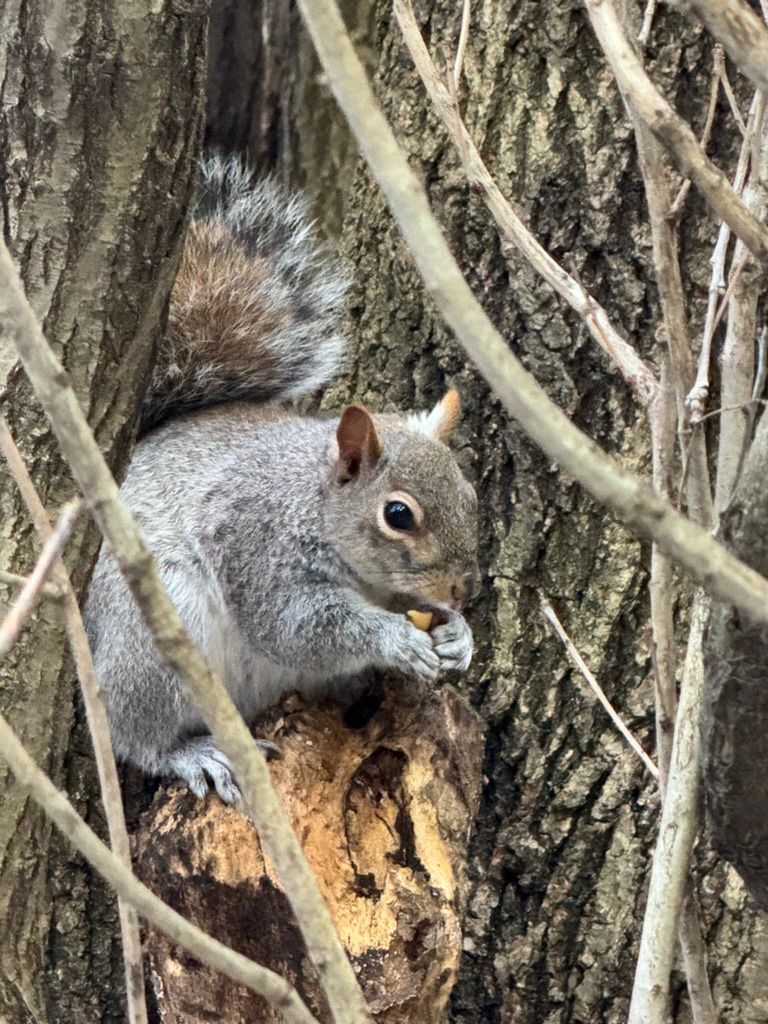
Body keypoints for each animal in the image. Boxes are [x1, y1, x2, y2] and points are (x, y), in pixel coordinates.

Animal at [85, 155, 480, 804]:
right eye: (398, 514)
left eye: (470, 494)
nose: (463, 590)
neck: (312, 500)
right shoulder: (256, 542)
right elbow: (298, 625)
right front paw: (394, 640)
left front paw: (459, 635)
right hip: (154, 636)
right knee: (132, 732)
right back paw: (190, 754)